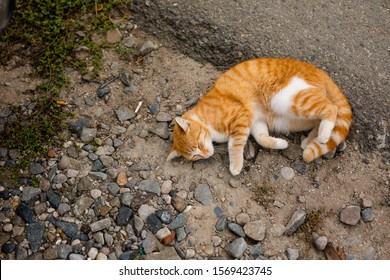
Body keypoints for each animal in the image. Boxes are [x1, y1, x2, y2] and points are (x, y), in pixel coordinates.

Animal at [166, 57, 352, 175]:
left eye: (198, 144)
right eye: (195, 156)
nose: (205, 155)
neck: (205, 120)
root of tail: (318, 70)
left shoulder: (240, 118)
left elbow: (234, 145)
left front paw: (235, 165)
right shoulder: (255, 122)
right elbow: (262, 138)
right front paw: (281, 143)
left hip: (285, 99)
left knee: (331, 108)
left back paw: (324, 134)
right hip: (291, 118)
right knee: (318, 119)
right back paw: (311, 140)